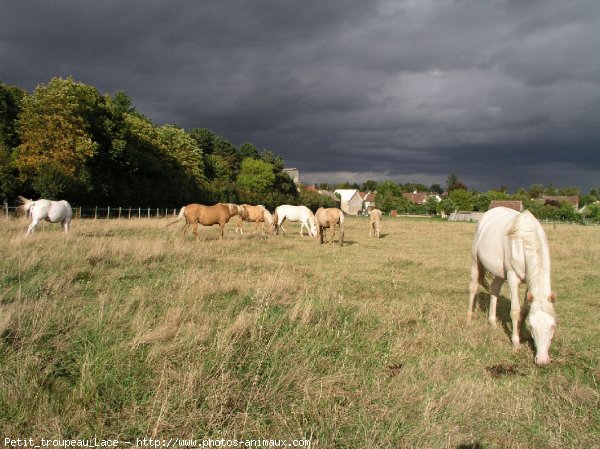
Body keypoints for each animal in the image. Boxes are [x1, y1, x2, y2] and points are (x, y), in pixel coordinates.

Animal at [466, 206, 556, 364]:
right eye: (532, 326)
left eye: (553, 326)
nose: (542, 360)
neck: (525, 241)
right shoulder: (513, 278)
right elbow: (515, 310)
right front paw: (515, 343)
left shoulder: (529, 284)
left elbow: (524, 311)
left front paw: (519, 334)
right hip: (475, 261)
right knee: (473, 287)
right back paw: (469, 319)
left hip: (499, 272)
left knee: (495, 289)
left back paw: (492, 323)